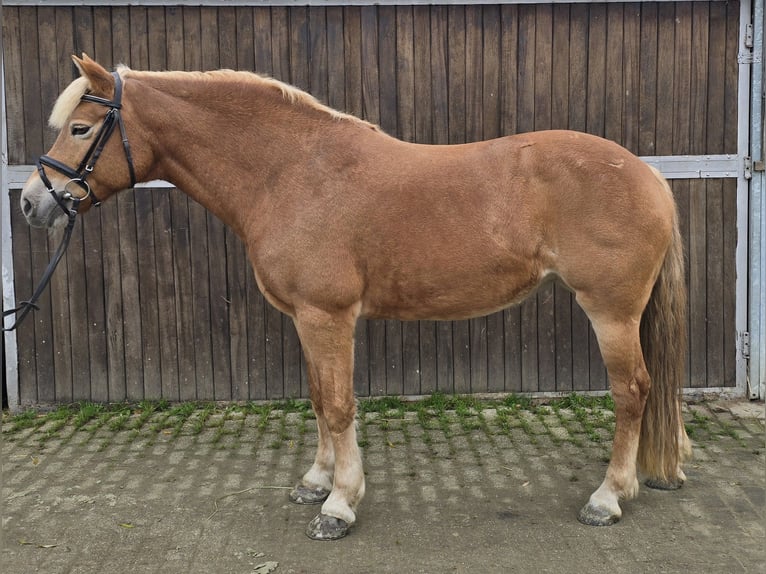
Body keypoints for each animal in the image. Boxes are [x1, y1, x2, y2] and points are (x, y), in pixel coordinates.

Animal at [19, 54, 688, 540]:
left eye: (80, 128)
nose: (31, 203)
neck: (289, 172)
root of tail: (647, 175)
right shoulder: (305, 318)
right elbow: (319, 399)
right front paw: (316, 482)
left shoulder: (328, 315)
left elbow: (340, 406)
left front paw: (339, 506)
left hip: (611, 312)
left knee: (633, 392)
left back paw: (608, 497)